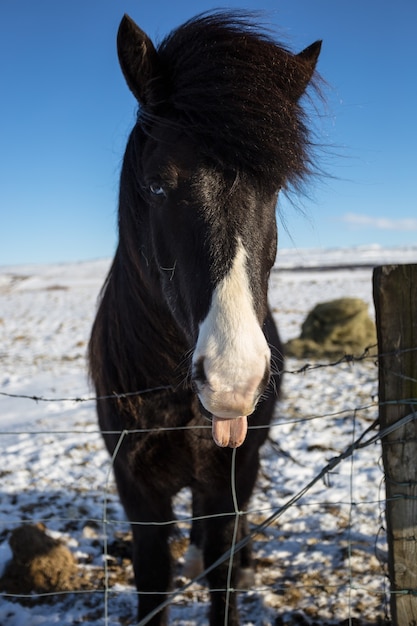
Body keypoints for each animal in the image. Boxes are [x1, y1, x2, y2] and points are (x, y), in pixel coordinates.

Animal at [89, 11, 320, 624]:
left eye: (275, 186)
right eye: (156, 183)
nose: (233, 379)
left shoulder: (229, 479)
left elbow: (223, 575)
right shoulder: (138, 493)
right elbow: (152, 583)